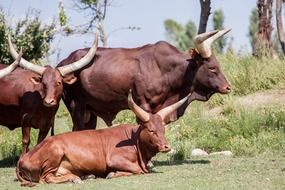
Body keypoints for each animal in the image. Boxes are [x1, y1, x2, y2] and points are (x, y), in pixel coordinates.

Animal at [15, 90, 189, 187]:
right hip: (55, 153)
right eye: (151, 130)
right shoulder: (115, 159)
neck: (135, 141)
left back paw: (84, 176)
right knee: (46, 178)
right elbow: (138, 170)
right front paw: (112, 174)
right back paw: (76, 179)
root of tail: (22, 159)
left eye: (163, 129)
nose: (166, 147)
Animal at [57, 29, 231, 131]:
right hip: (76, 107)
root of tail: (62, 64)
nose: (228, 87)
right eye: (212, 68)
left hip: (89, 111)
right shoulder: (143, 105)